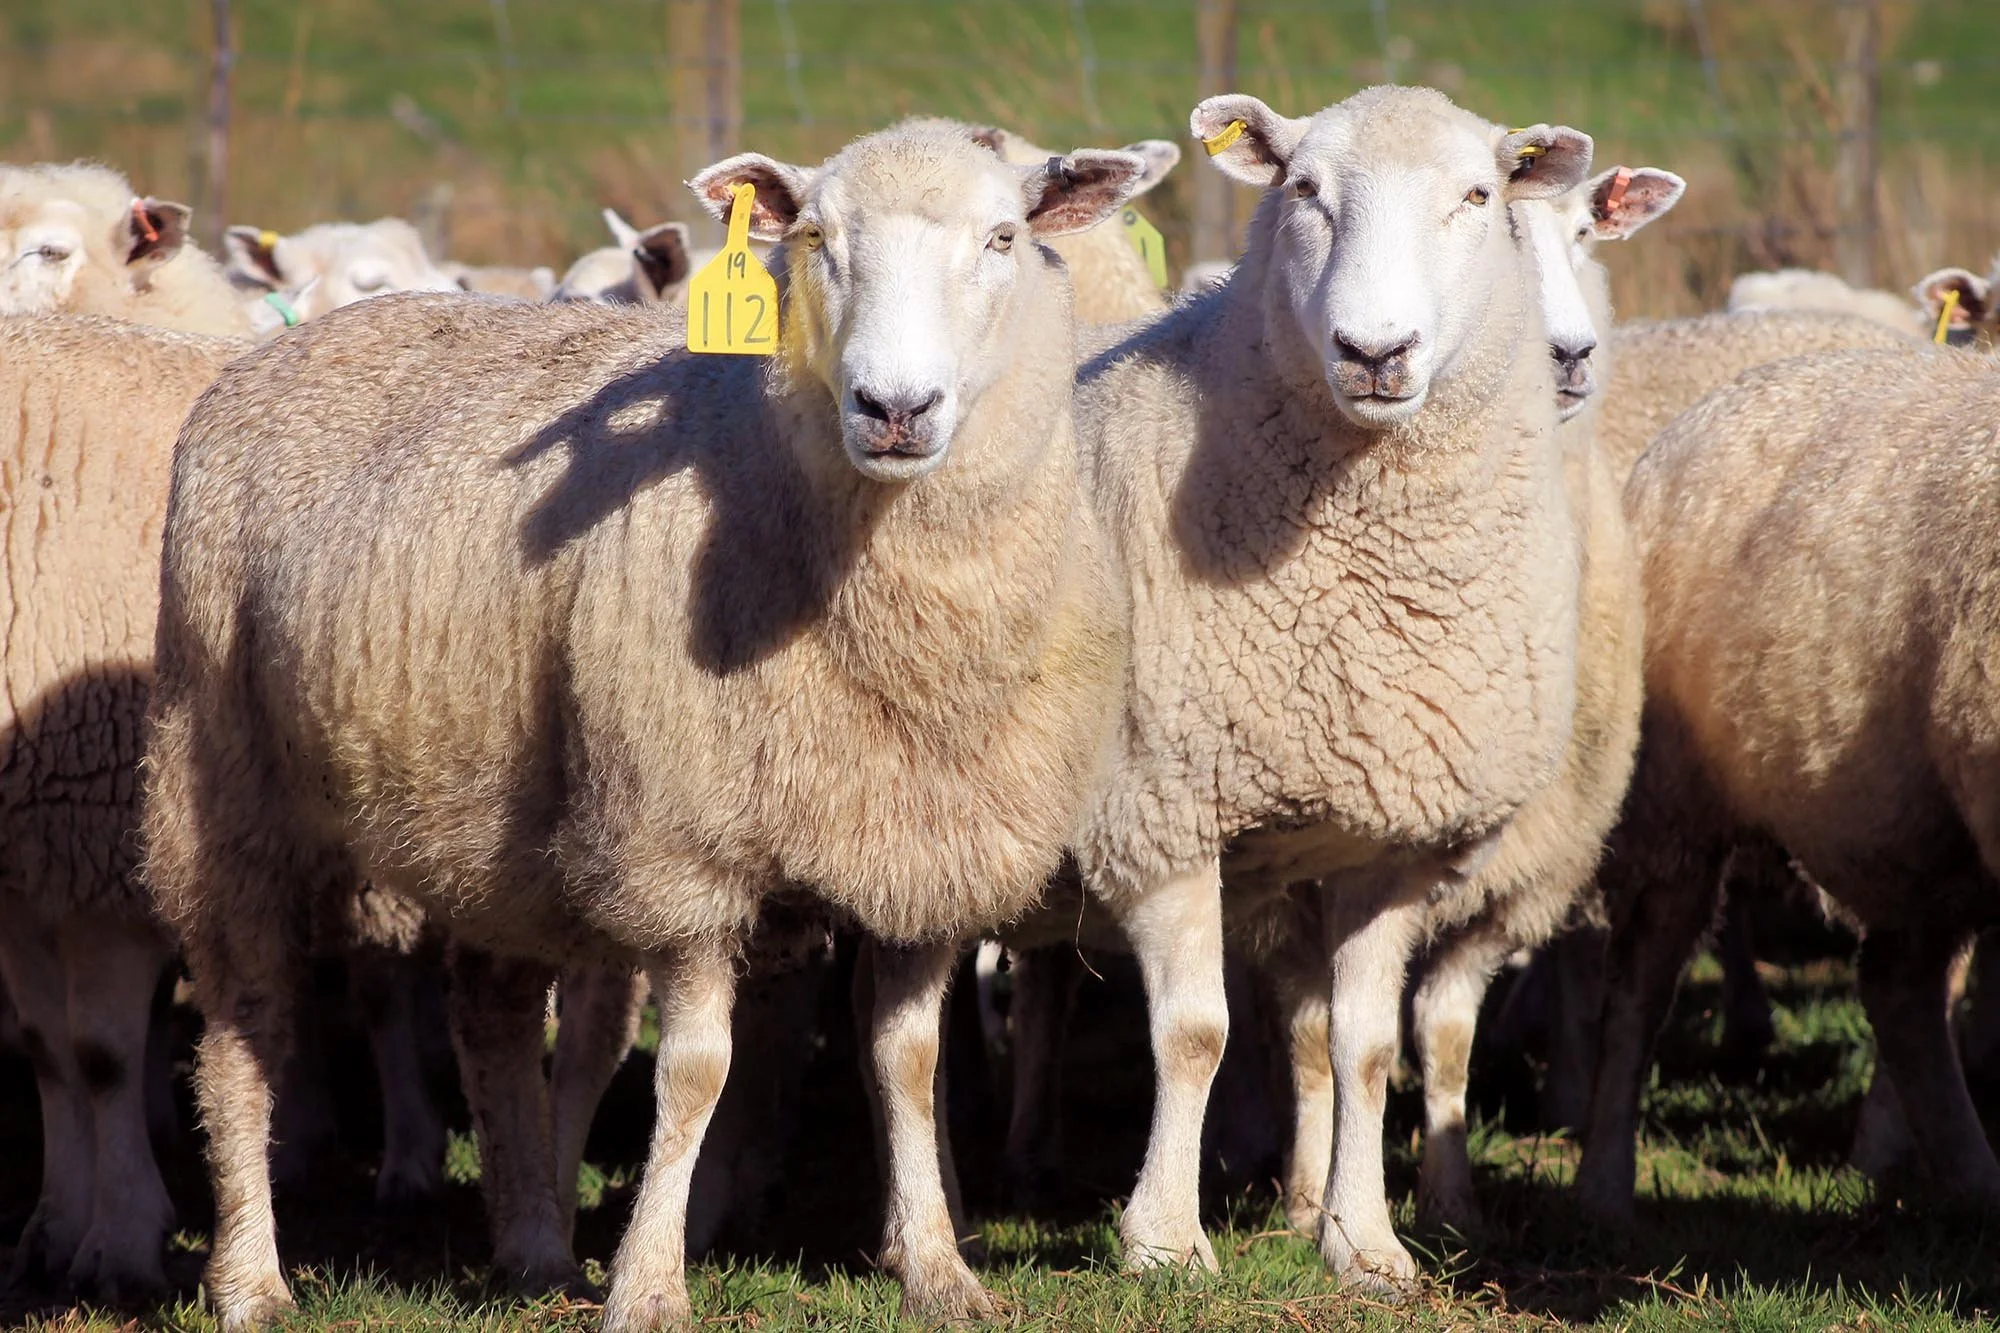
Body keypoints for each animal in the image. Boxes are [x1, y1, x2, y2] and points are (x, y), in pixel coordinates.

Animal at [1047, 86, 1591, 1289]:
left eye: (1476, 196)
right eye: (1302, 190)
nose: (1373, 350)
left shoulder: (1393, 839)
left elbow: (1365, 1045)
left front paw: (1364, 1241)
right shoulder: (1157, 806)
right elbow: (1193, 1032)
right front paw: (1164, 1240)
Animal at [1574, 342, 2000, 1225]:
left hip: (1915, 826)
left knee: (1899, 987)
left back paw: (1971, 1182)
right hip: (1674, 800)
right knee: (1637, 989)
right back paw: (1603, 1188)